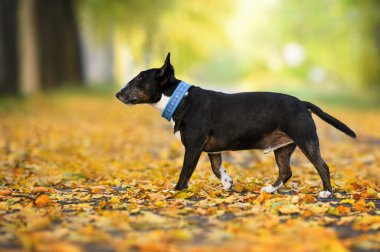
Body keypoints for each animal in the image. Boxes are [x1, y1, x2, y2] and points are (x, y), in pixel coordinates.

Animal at [116, 53, 356, 199]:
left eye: (139, 79)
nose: (118, 94)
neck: (180, 98)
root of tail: (302, 102)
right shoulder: (213, 150)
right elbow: (216, 169)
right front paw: (227, 183)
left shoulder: (193, 147)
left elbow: (185, 172)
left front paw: (176, 191)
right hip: (282, 148)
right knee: (286, 171)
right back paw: (270, 188)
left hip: (306, 140)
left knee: (322, 166)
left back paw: (327, 193)